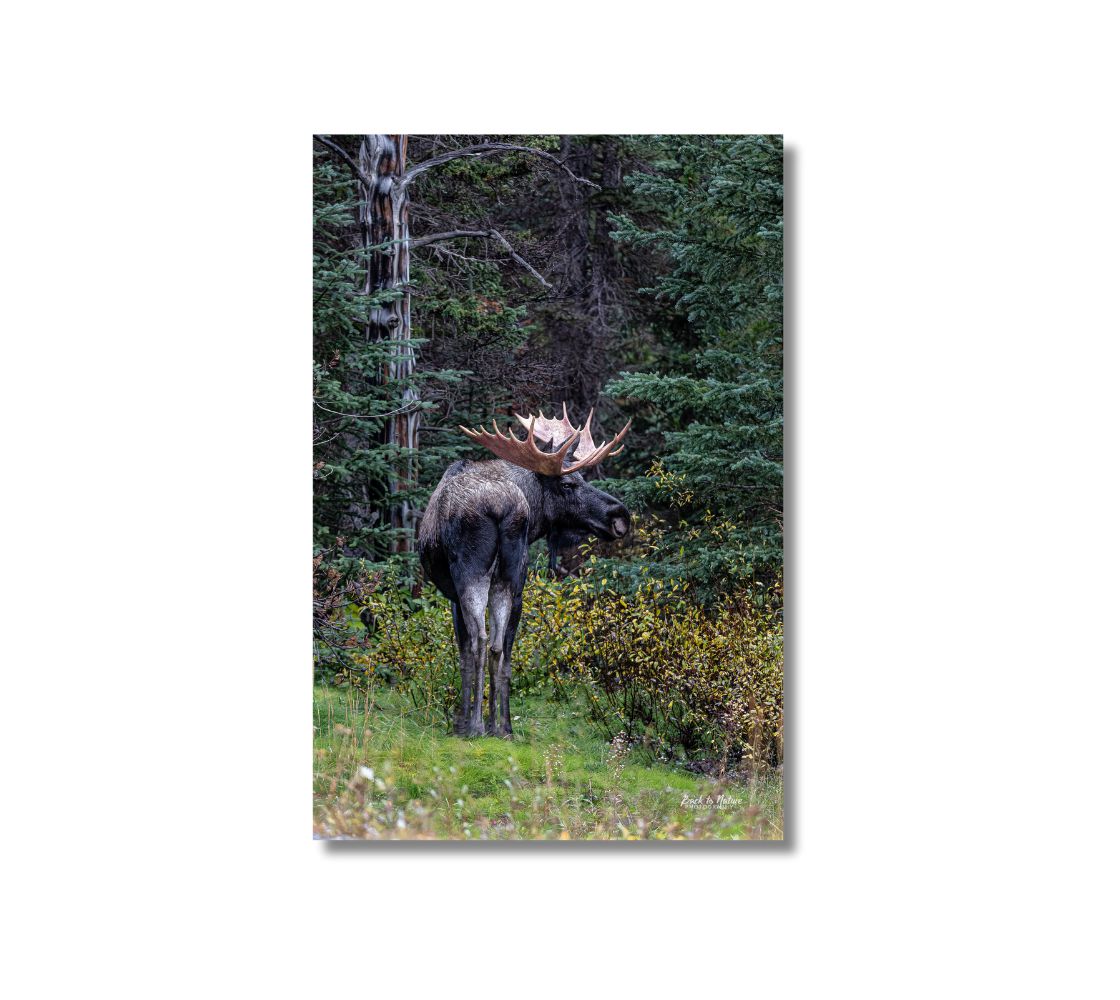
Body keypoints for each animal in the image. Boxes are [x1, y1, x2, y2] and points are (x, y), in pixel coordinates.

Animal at [418, 400, 631, 739]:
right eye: (570, 483)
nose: (620, 516)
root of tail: (503, 507)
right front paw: (496, 722)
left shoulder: (451, 594)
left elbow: (463, 651)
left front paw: (460, 721)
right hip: (512, 578)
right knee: (499, 647)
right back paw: (501, 727)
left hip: (471, 571)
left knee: (480, 641)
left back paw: (476, 726)